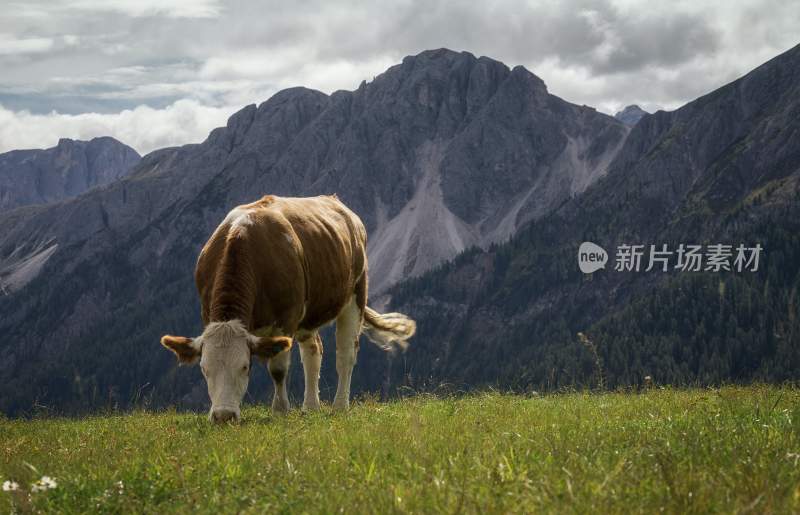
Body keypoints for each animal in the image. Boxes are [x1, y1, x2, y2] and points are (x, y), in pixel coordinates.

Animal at [160, 195, 416, 424]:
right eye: (204, 369)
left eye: (245, 367)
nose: (224, 416)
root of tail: (336, 201)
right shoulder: (207, 314)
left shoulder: (286, 319)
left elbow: (278, 369)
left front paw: (280, 409)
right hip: (309, 315)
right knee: (313, 351)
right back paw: (311, 406)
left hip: (355, 295)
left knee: (346, 354)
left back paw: (340, 405)